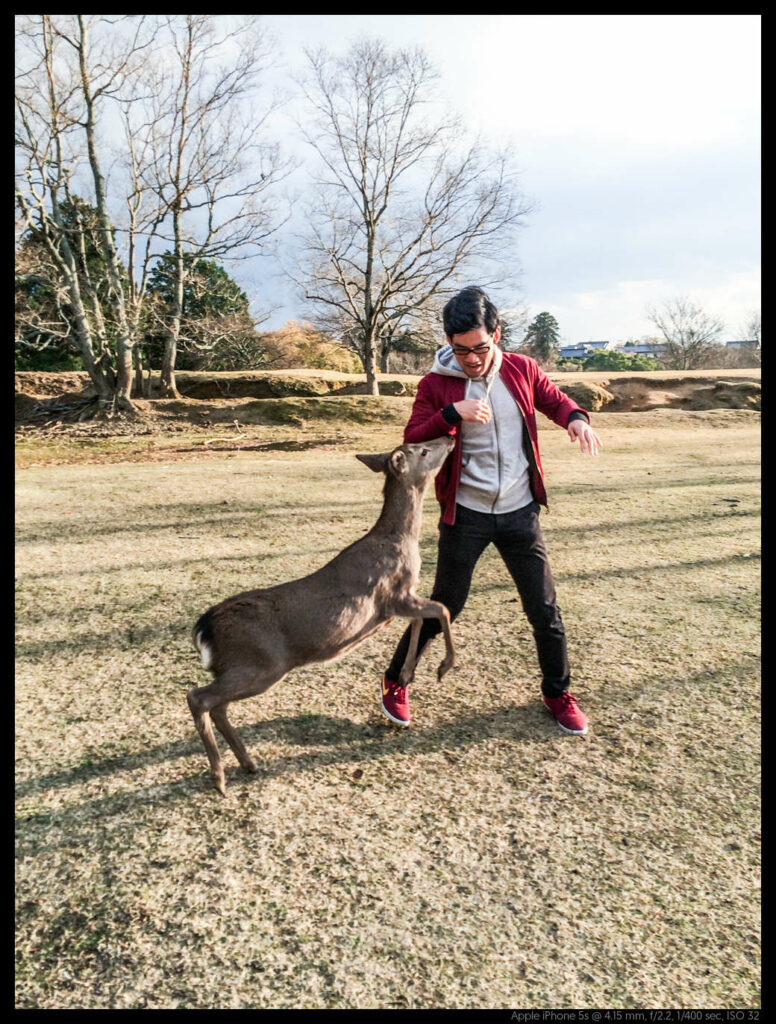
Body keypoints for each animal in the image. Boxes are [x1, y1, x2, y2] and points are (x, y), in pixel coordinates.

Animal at [186, 436, 458, 794]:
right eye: (423, 450)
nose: (450, 437)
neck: (402, 542)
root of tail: (204, 629)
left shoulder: (396, 605)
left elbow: (423, 618)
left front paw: (406, 674)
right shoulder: (393, 596)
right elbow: (443, 609)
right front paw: (444, 666)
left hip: (246, 668)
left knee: (218, 705)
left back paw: (248, 763)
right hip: (260, 665)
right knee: (198, 697)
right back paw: (219, 777)